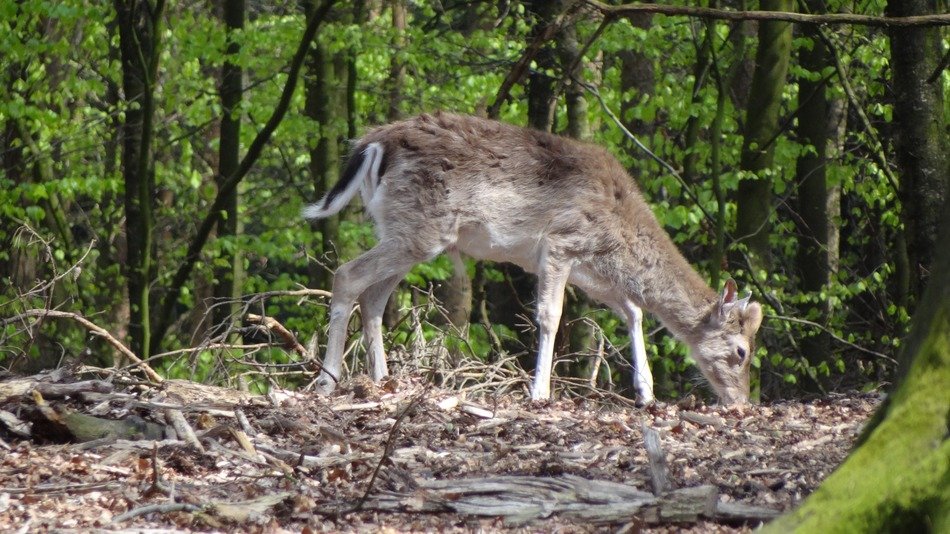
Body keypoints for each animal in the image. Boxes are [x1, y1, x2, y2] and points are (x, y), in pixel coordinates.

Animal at [302, 111, 763, 405]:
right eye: (742, 351)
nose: (741, 401)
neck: (618, 238)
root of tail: (372, 143)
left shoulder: (591, 271)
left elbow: (633, 310)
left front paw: (646, 394)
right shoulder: (561, 243)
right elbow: (550, 315)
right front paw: (539, 392)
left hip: (401, 229)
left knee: (374, 297)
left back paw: (383, 379)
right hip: (420, 230)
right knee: (347, 274)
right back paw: (327, 382)